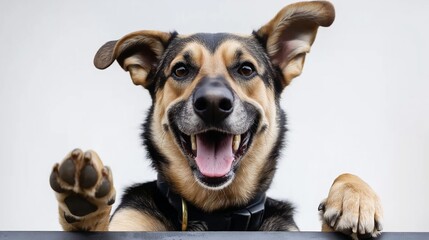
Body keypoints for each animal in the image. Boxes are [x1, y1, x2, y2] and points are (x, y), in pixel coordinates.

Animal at [49, 1, 382, 238]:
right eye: (180, 70)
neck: (214, 214)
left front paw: (355, 200)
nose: (212, 104)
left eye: (246, 69)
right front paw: (84, 198)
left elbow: (346, 174)